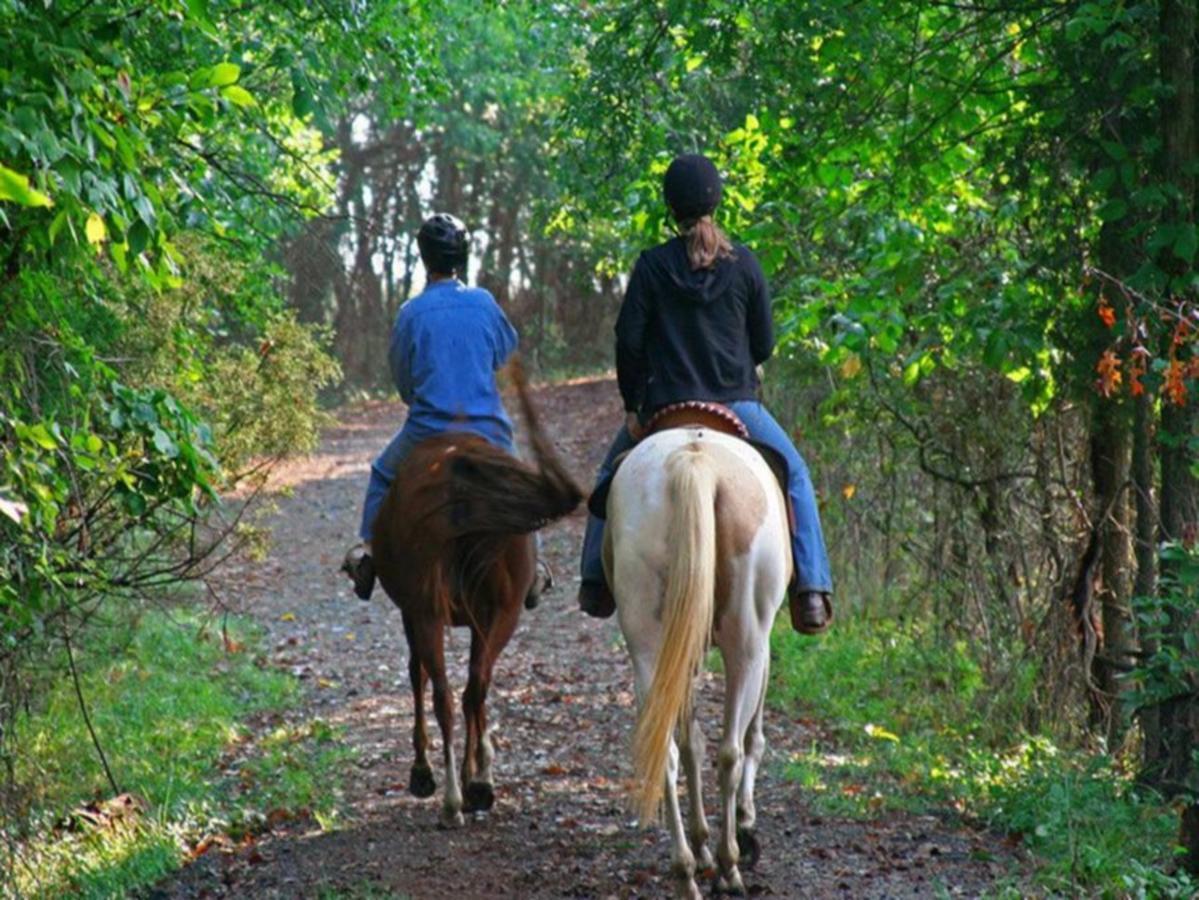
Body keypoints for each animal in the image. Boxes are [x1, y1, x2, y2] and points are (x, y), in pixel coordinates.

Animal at [371, 364, 582, 824]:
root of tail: (455, 473)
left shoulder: (412, 613)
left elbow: (416, 675)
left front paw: (423, 772)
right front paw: (478, 770)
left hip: (430, 612)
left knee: (446, 693)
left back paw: (452, 797)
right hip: (502, 612)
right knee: (473, 688)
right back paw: (477, 785)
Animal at [604, 426, 791, 896]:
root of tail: (695, 460)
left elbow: (691, 743)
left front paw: (702, 843)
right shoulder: (762, 646)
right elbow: (750, 738)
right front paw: (745, 824)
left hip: (649, 643)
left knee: (668, 751)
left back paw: (687, 869)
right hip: (747, 641)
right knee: (730, 751)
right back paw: (730, 866)